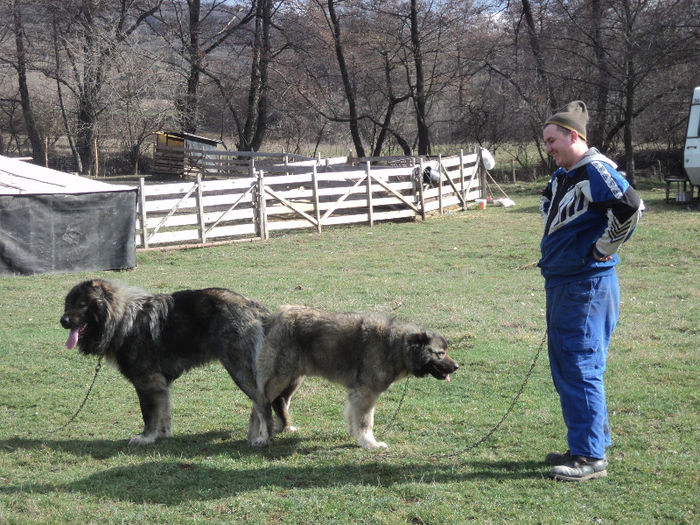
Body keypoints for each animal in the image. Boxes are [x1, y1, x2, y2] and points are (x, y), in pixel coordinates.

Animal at [250, 304, 460, 448]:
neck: (397, 346)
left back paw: (283, 427)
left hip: (293, 380)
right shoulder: (367, 392)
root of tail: (274, 318)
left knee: (279, 402)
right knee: (260, 404)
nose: (457, 367)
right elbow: (366, 421)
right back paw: (261, 437)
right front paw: (370, 443)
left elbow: (354, 417)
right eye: (441, 353)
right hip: (279, 378)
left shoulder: (357, 392)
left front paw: (355, 435)